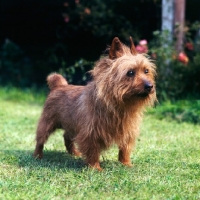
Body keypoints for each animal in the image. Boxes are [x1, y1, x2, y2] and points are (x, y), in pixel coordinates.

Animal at [33, 36, 157, 170]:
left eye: (146, 71)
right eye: (130, 72)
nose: (150, 86)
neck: (120, 105)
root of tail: (59, 85)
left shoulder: (128, 131)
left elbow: (125, 149)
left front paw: (126, 164)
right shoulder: (90, 133)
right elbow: (92, 151)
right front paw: (95, 168)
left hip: (71, 124)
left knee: (67, 136)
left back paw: (74, 153)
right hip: (47, 123)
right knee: (40, 140)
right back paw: (37, 155)